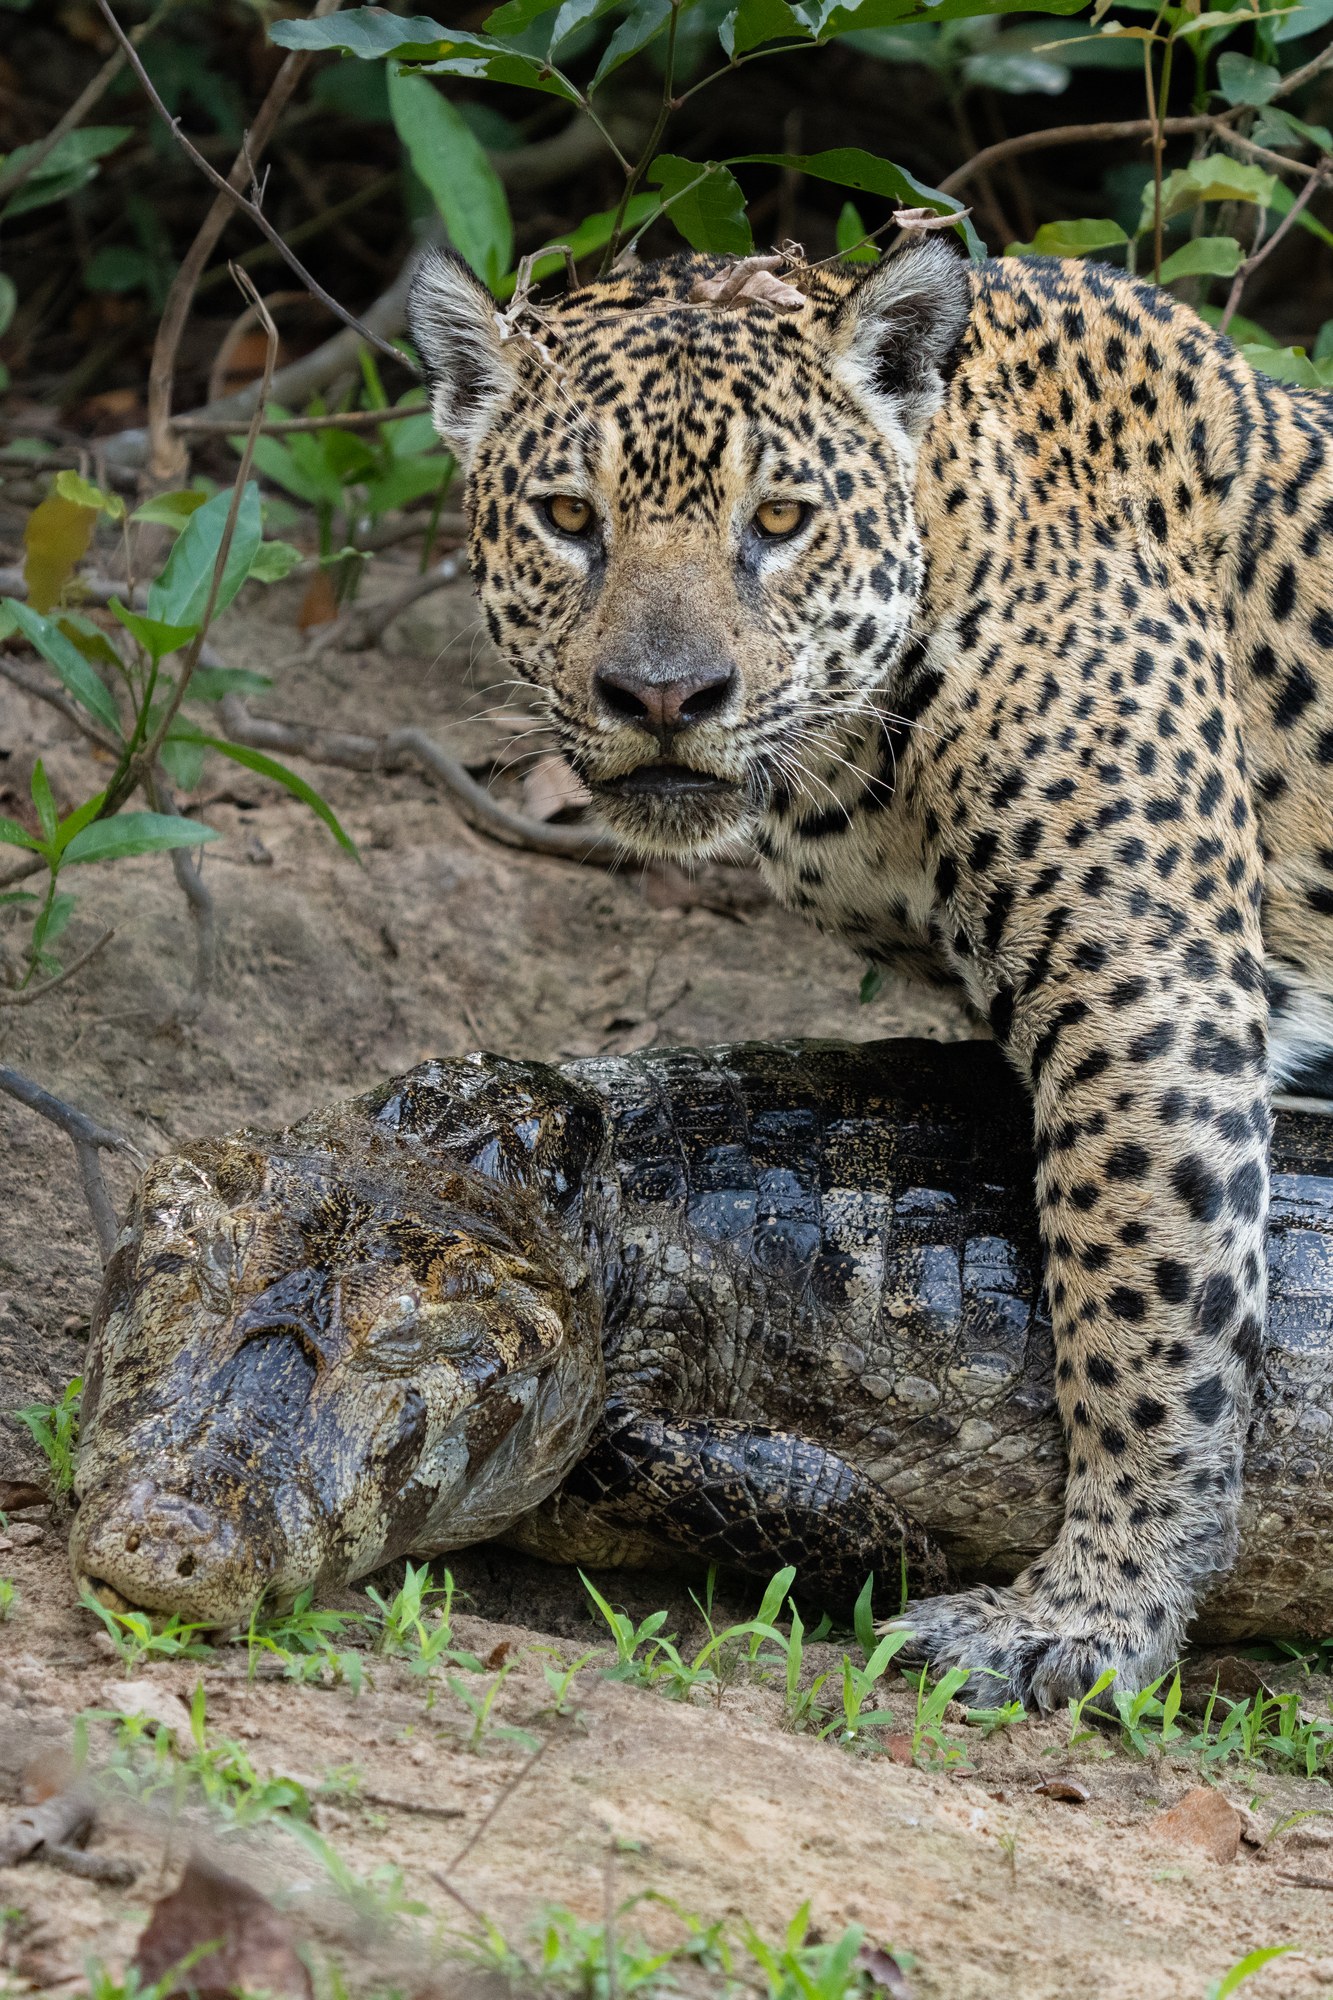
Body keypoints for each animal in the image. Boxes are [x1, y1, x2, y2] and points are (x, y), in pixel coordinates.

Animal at [406, 234, 1333, 1711]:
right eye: (566, 515)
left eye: (779, 520)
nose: (663, 697)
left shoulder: (1148, 997)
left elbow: (1144, 1307)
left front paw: (1097, 1613)